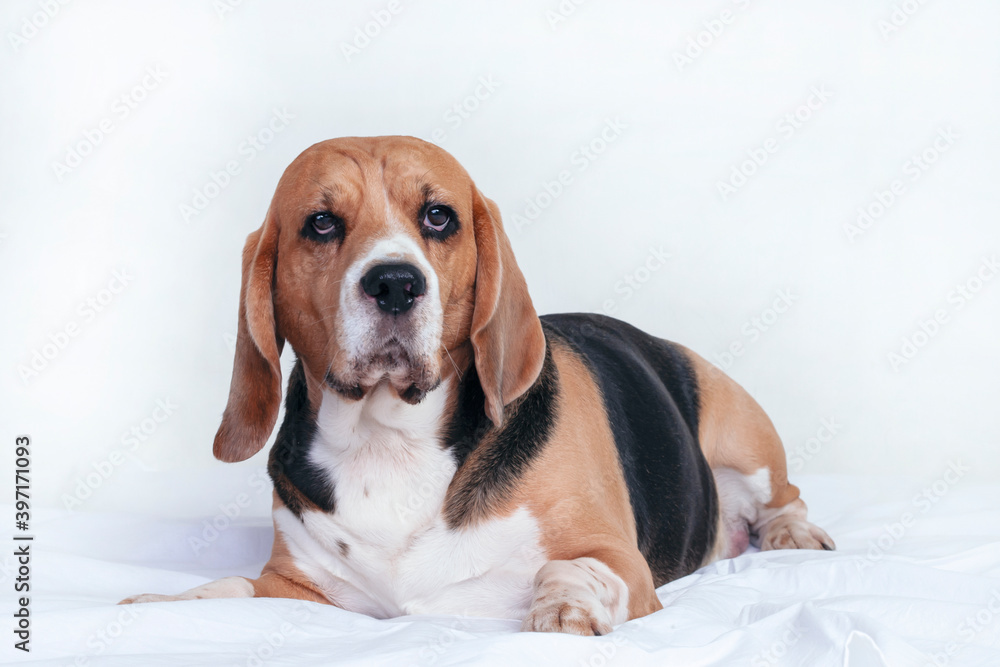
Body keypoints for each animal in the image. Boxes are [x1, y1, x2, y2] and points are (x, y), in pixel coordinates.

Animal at [121, 136, 832, 636]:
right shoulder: (297, 587)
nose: (395, 283)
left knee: (786, 497)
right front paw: (161, 601)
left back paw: (793, 536)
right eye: (321, 223)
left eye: (439, 216)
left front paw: (563, 606)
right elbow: (231, 588)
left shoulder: (618, 558)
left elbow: (568, 566)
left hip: (743, 433)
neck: (389, 438)